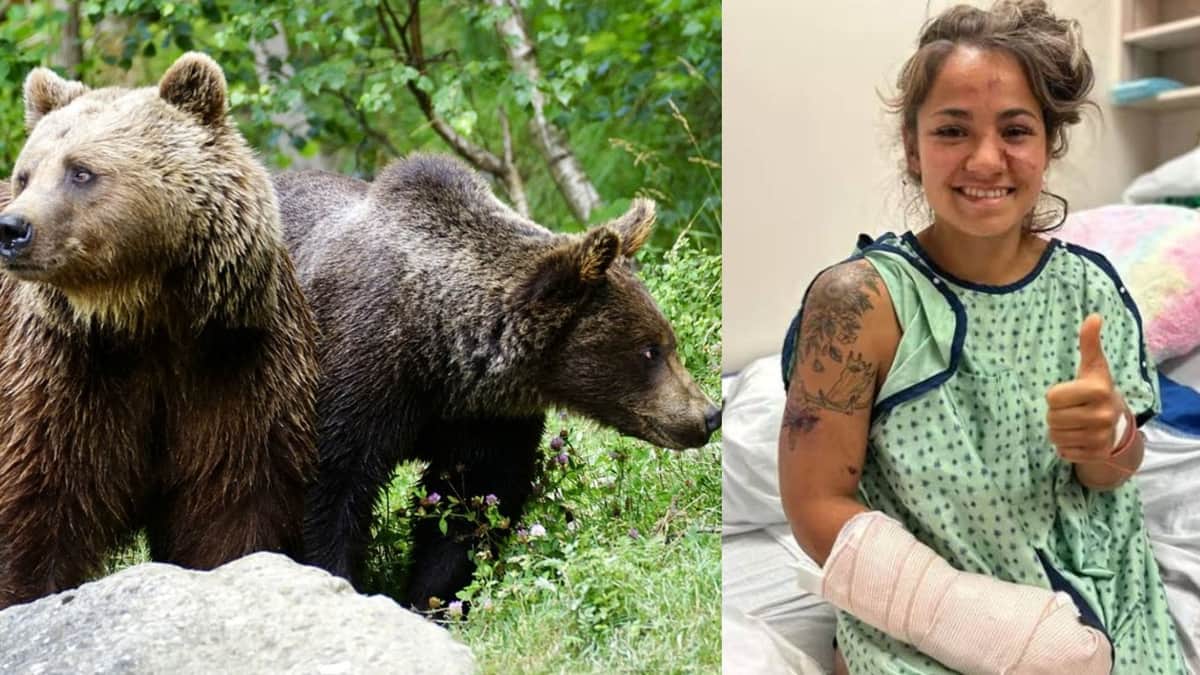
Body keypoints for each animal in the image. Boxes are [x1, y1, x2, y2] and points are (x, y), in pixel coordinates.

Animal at [0, 52, 318, 609]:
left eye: (80, 171)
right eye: (24, 174)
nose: (12, 228)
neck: (144, 315)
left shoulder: (234, 363)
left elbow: (232, 501)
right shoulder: (61, 372)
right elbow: (39, 505)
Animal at [273, 154, 721, 609]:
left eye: (668, 341)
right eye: (650, 350)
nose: (709, 415)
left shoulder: (487, 419)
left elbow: (472, 505)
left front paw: (436, 598)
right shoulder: (356, 380)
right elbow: (329, 494)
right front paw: (337, 578)